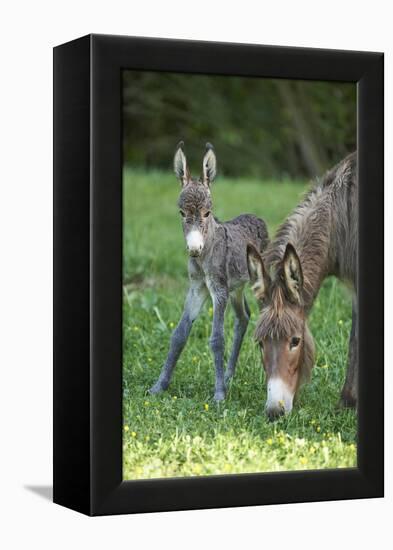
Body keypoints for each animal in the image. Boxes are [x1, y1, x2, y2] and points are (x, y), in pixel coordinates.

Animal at [149, 142, 268, 402]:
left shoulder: (218, 290)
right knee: (243, 317)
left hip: (260, 280)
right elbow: (179, 335)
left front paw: (219, 394)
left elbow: (217, 339)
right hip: (236, 288)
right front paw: (159, 386)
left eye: (207, 213)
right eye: (182, 213)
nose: (194, 249)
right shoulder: (197, 289)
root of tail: (256, 217)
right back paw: (231, 374)